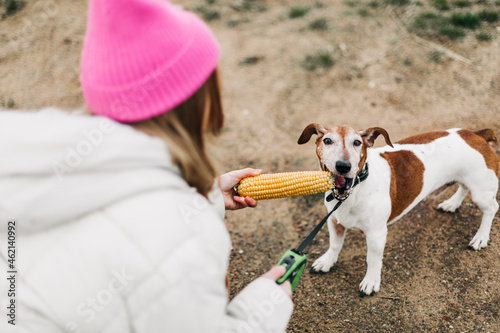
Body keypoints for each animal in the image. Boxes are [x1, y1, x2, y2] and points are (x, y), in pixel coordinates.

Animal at [298, 124, 498, 296]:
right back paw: (452, 203)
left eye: (357, 142)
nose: (343, 165)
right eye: (327, 140)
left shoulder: (377, 235)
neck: (354, 189)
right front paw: (327, 261)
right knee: (463, 187)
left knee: (491, 209)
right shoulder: (334, 221)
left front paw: (371, 282)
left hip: (481, 192)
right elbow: (334, 245)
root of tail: (476, 135)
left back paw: (481, 237)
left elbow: (373, 260)